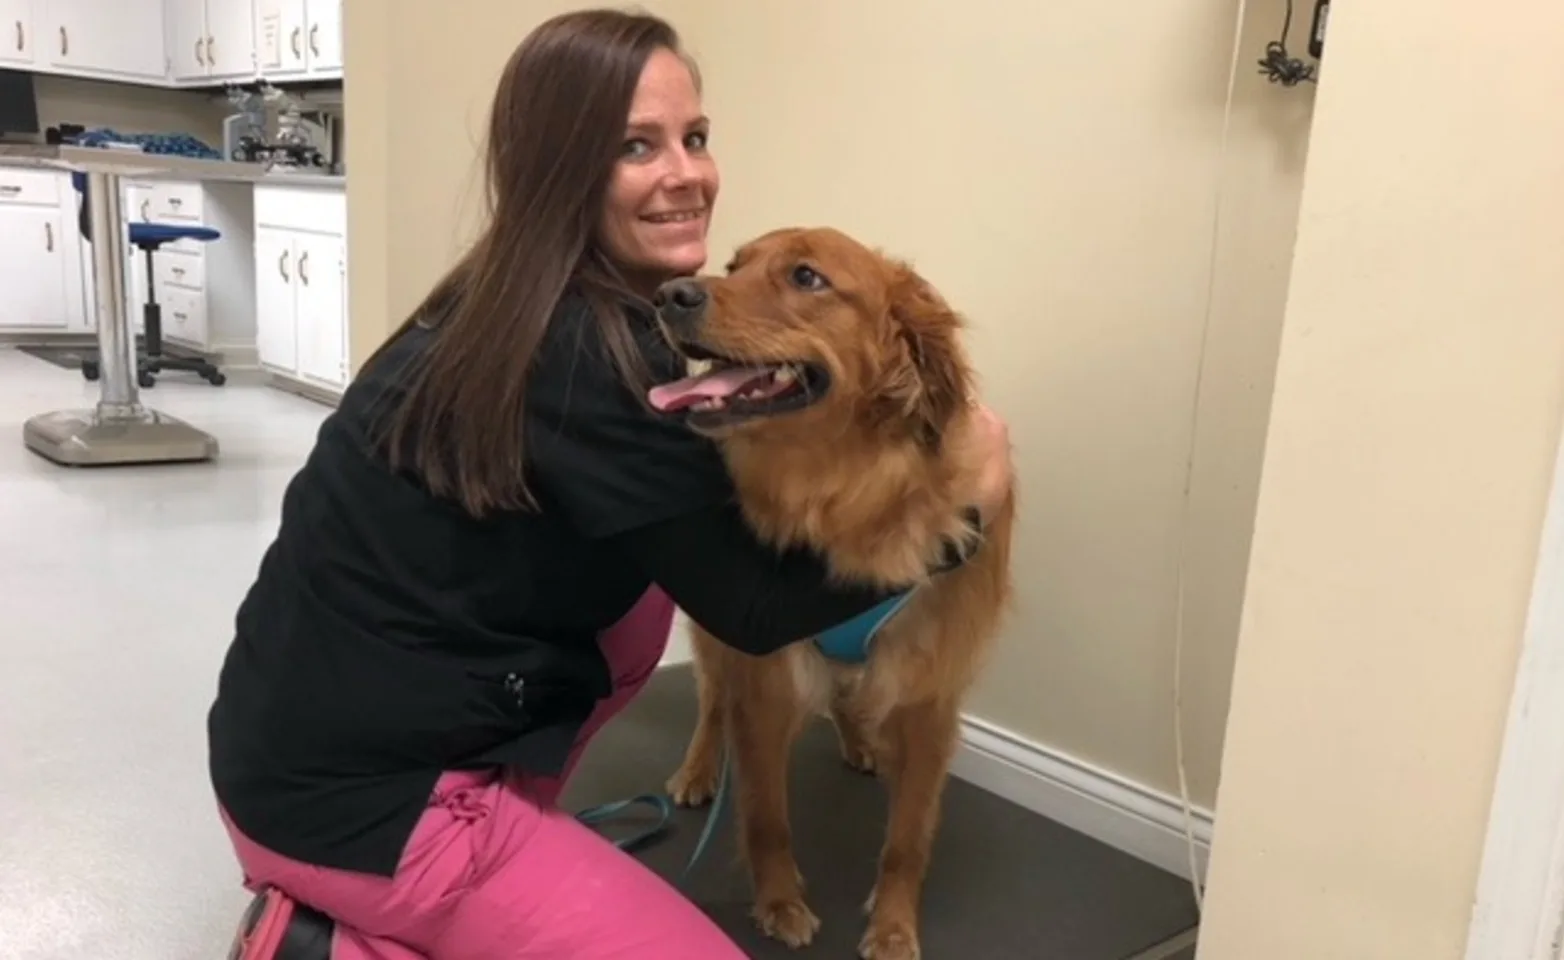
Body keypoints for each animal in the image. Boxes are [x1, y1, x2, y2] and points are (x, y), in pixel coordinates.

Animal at [644, 228, 1013, 960]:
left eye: (807, 278)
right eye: (734, 265)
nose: (670, 293)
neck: (849, 497)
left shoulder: (930, 698)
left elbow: (907, 840)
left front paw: (894, 926)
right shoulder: (763, 681)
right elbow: (766, 818)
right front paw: (779, 903)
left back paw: (861, 741)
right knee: (711, 702)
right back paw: (699, 771)